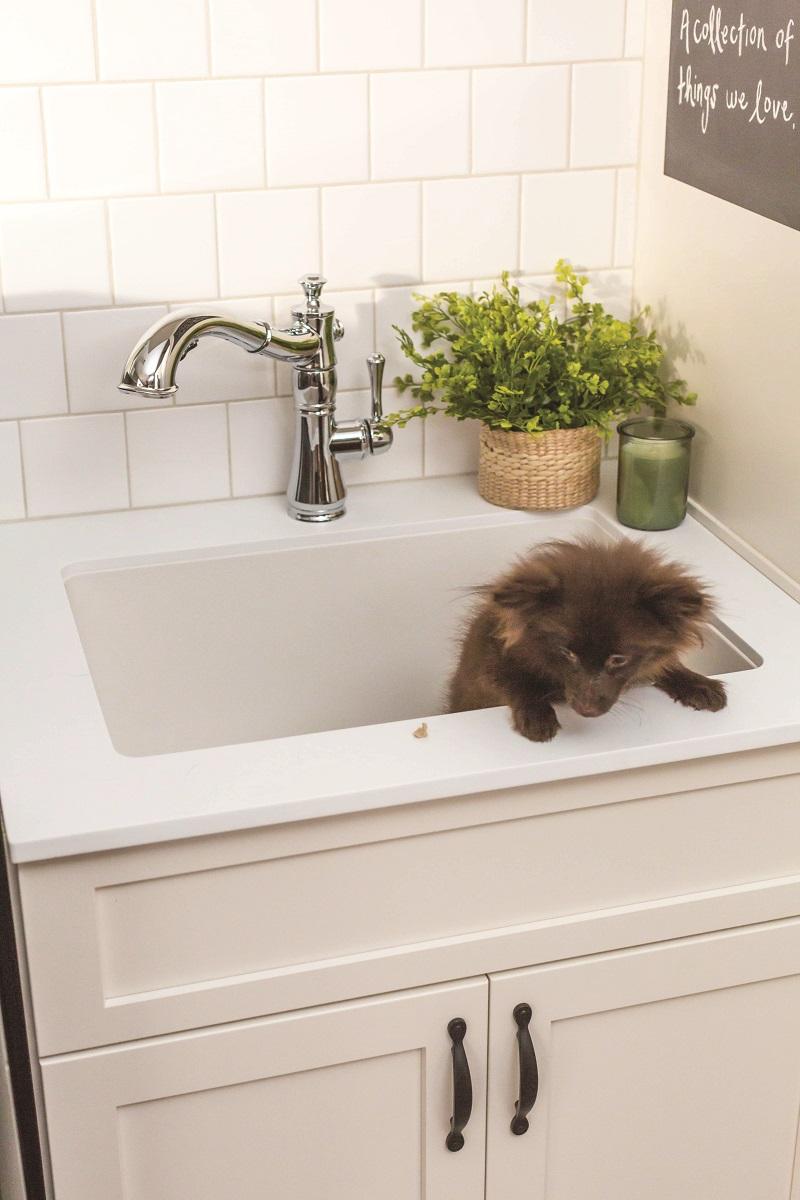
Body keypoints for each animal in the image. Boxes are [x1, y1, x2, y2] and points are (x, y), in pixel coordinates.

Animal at [448, 537, 729, 739]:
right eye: (567, 653)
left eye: (618, 659)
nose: (586, 710)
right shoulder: (489, 666)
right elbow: (516, 682)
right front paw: (537, 716)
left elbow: (665, 664)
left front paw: (698, 684)